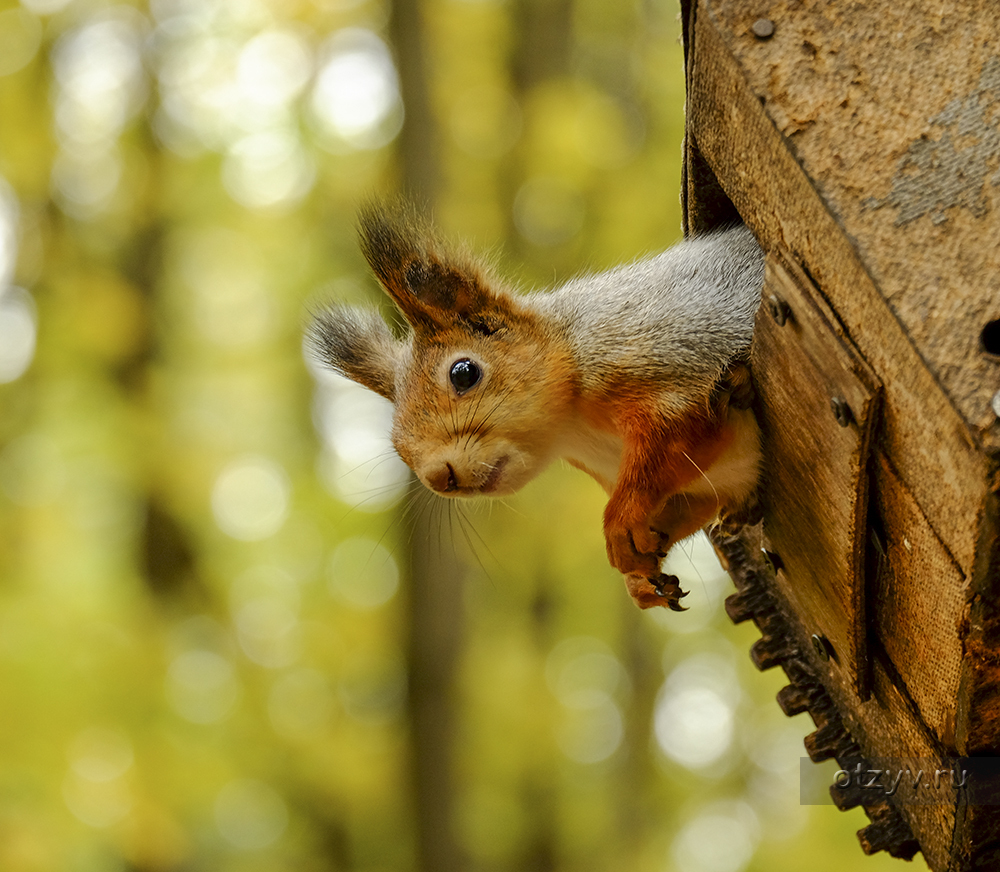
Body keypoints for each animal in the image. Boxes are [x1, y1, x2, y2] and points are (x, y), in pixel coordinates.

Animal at [312, 203, 764, 612]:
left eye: (464, 372)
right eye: (396, 444)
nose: (440, 477)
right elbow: (686, 504)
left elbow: (678, 431)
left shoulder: (668, 358)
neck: (575, 428)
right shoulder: (692, 486)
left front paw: (618, 522)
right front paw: (639, 581)